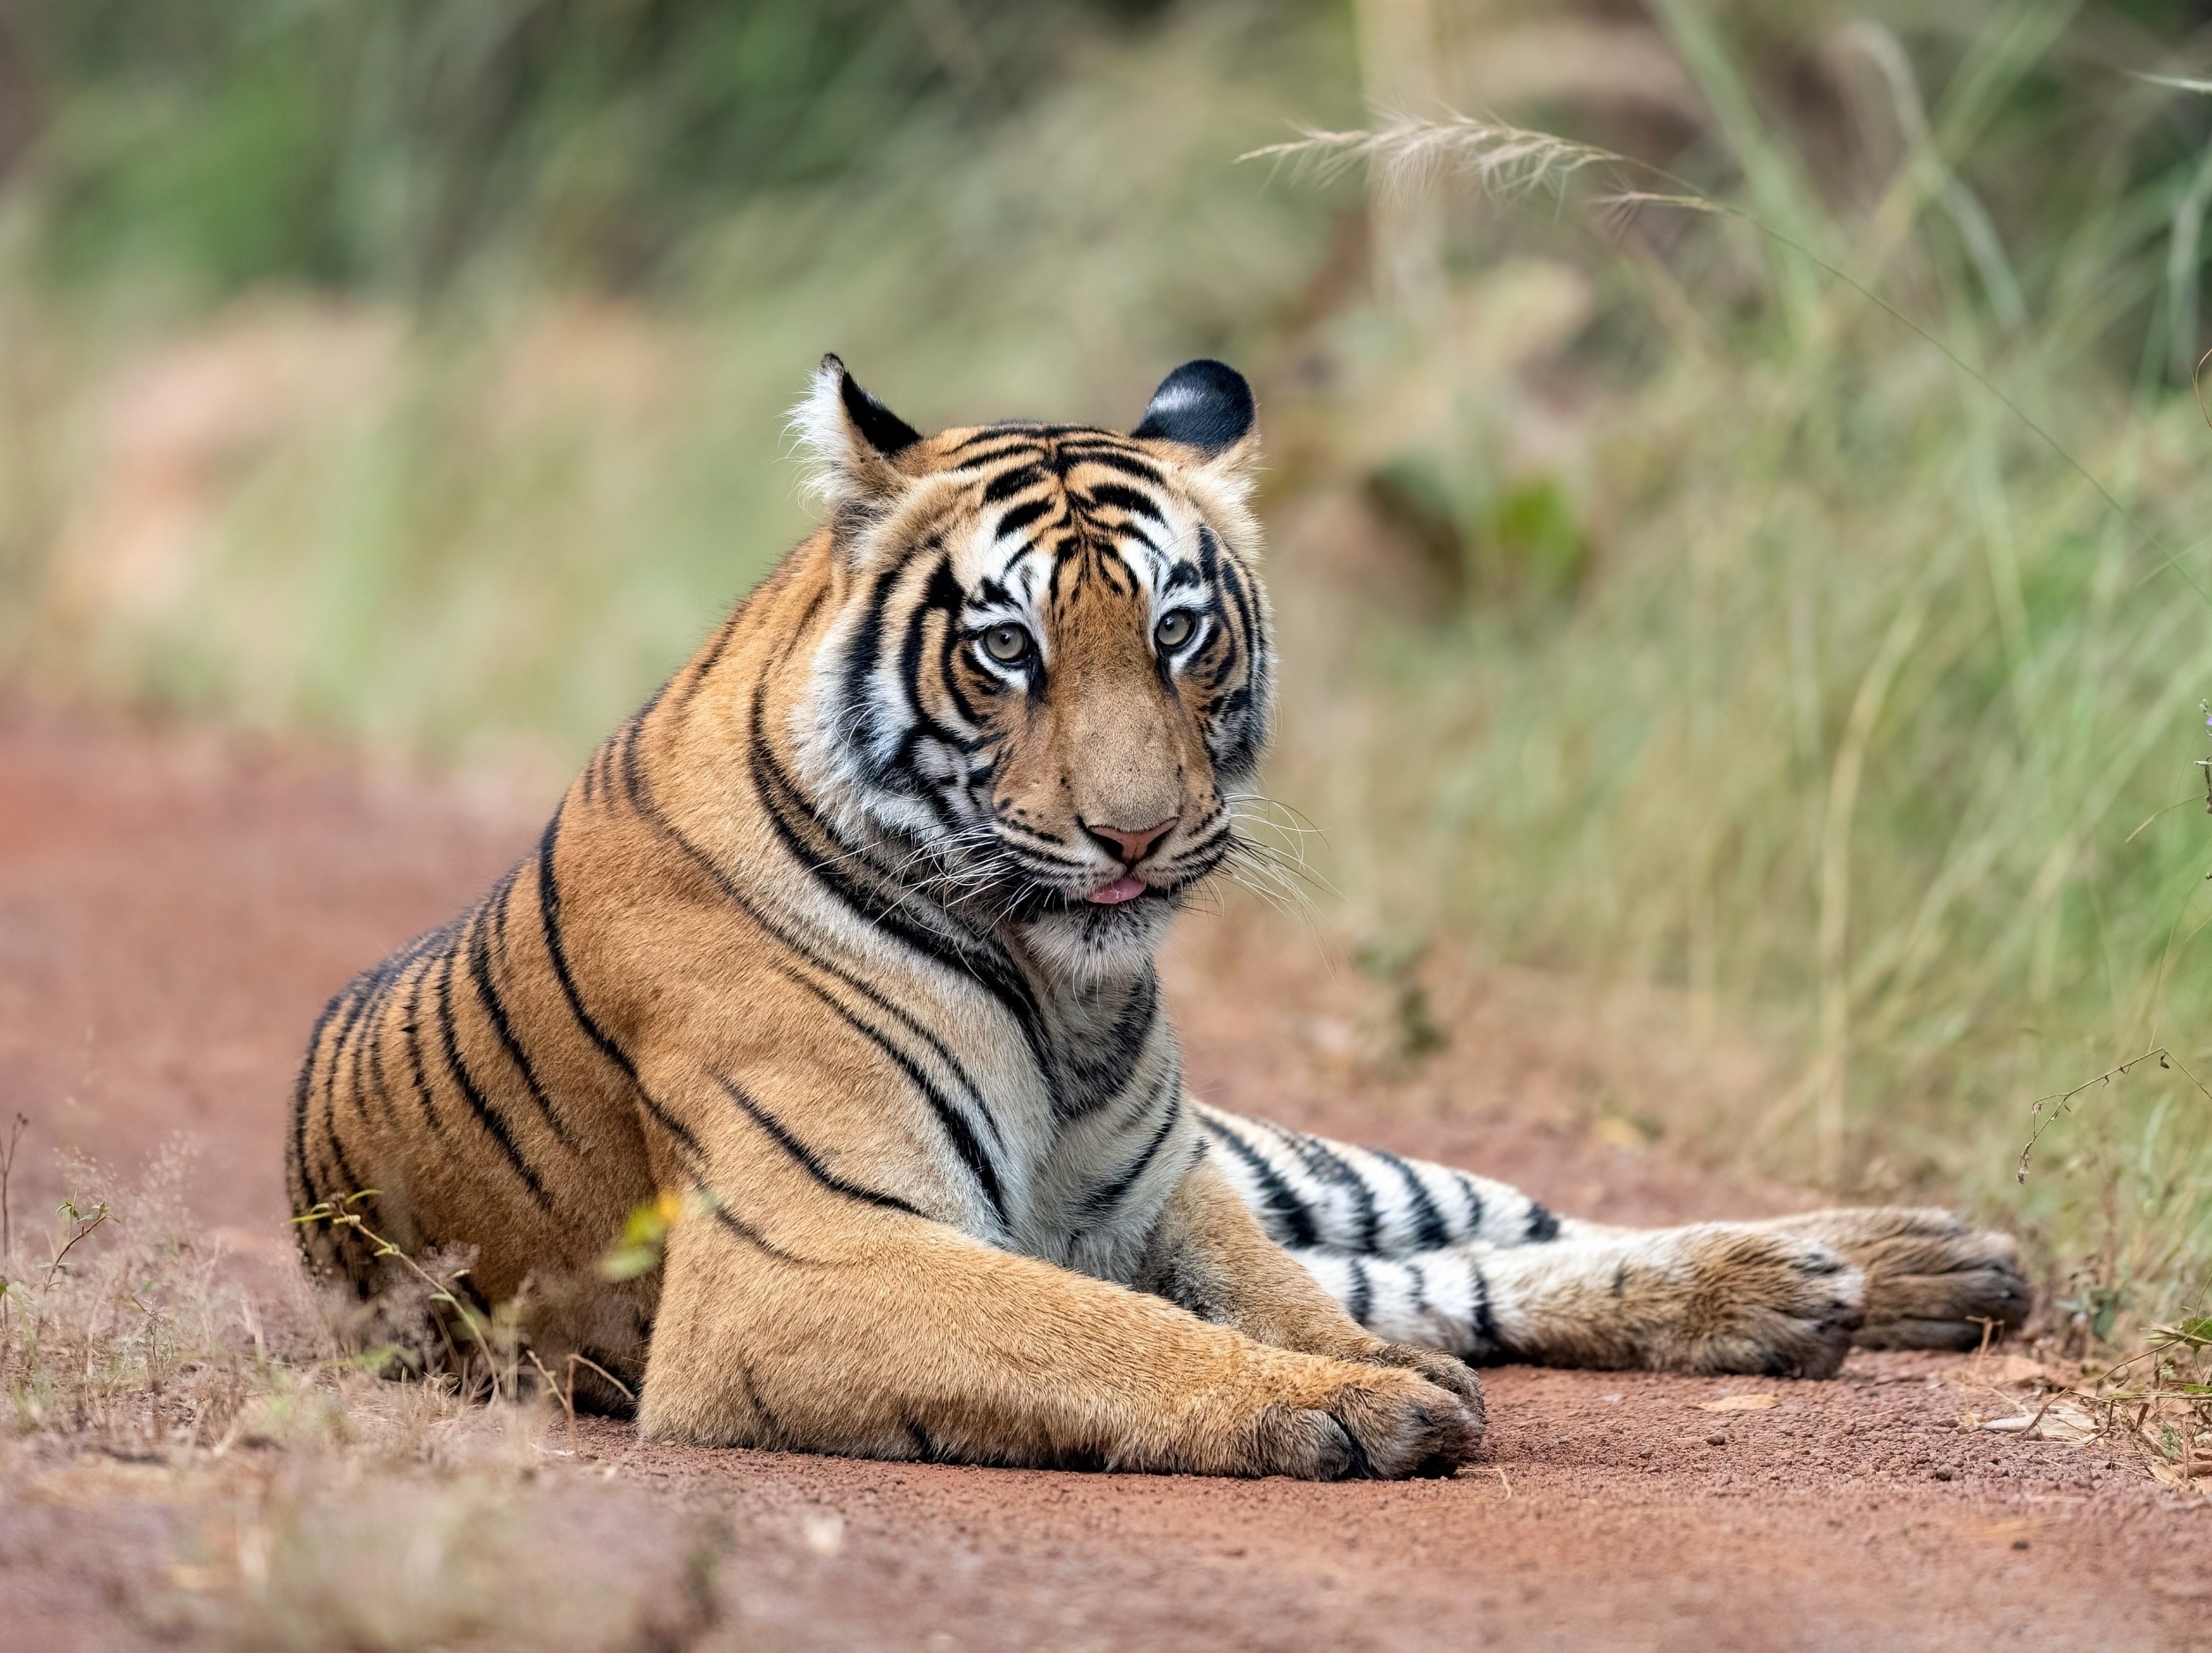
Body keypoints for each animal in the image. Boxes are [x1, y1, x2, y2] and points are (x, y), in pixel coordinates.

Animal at [288, 356, 2027, 1479]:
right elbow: (1089, 1329)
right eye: (1007, 647)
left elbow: (1273, 1287)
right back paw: (1834, 1284)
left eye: (1181, 633)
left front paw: (1370, 1374)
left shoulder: (1165, 1180)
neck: (1068, 986)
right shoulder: (802, 1252)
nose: (1134, 831)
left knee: (1502, 1226)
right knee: (1451, 1262)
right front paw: (1355, 1407)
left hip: (1285, 1149)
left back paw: (1895, 1260)